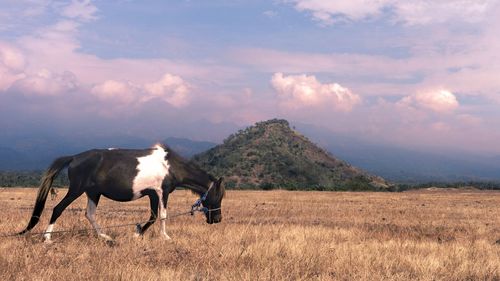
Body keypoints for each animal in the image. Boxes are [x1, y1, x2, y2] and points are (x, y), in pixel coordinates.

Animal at [17, 143, 225, 242]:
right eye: (218, 196)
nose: (217, 219)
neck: (170, 166)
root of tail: (74, 157)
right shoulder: (162, 192)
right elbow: (163, 215)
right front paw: (165, 237)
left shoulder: (151, 194)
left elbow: (152, 216)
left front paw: (137, 233)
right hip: (76, 190)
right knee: (57, 209)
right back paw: (47, 238)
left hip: (93, 193)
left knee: (90, 214)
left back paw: (106, 238)